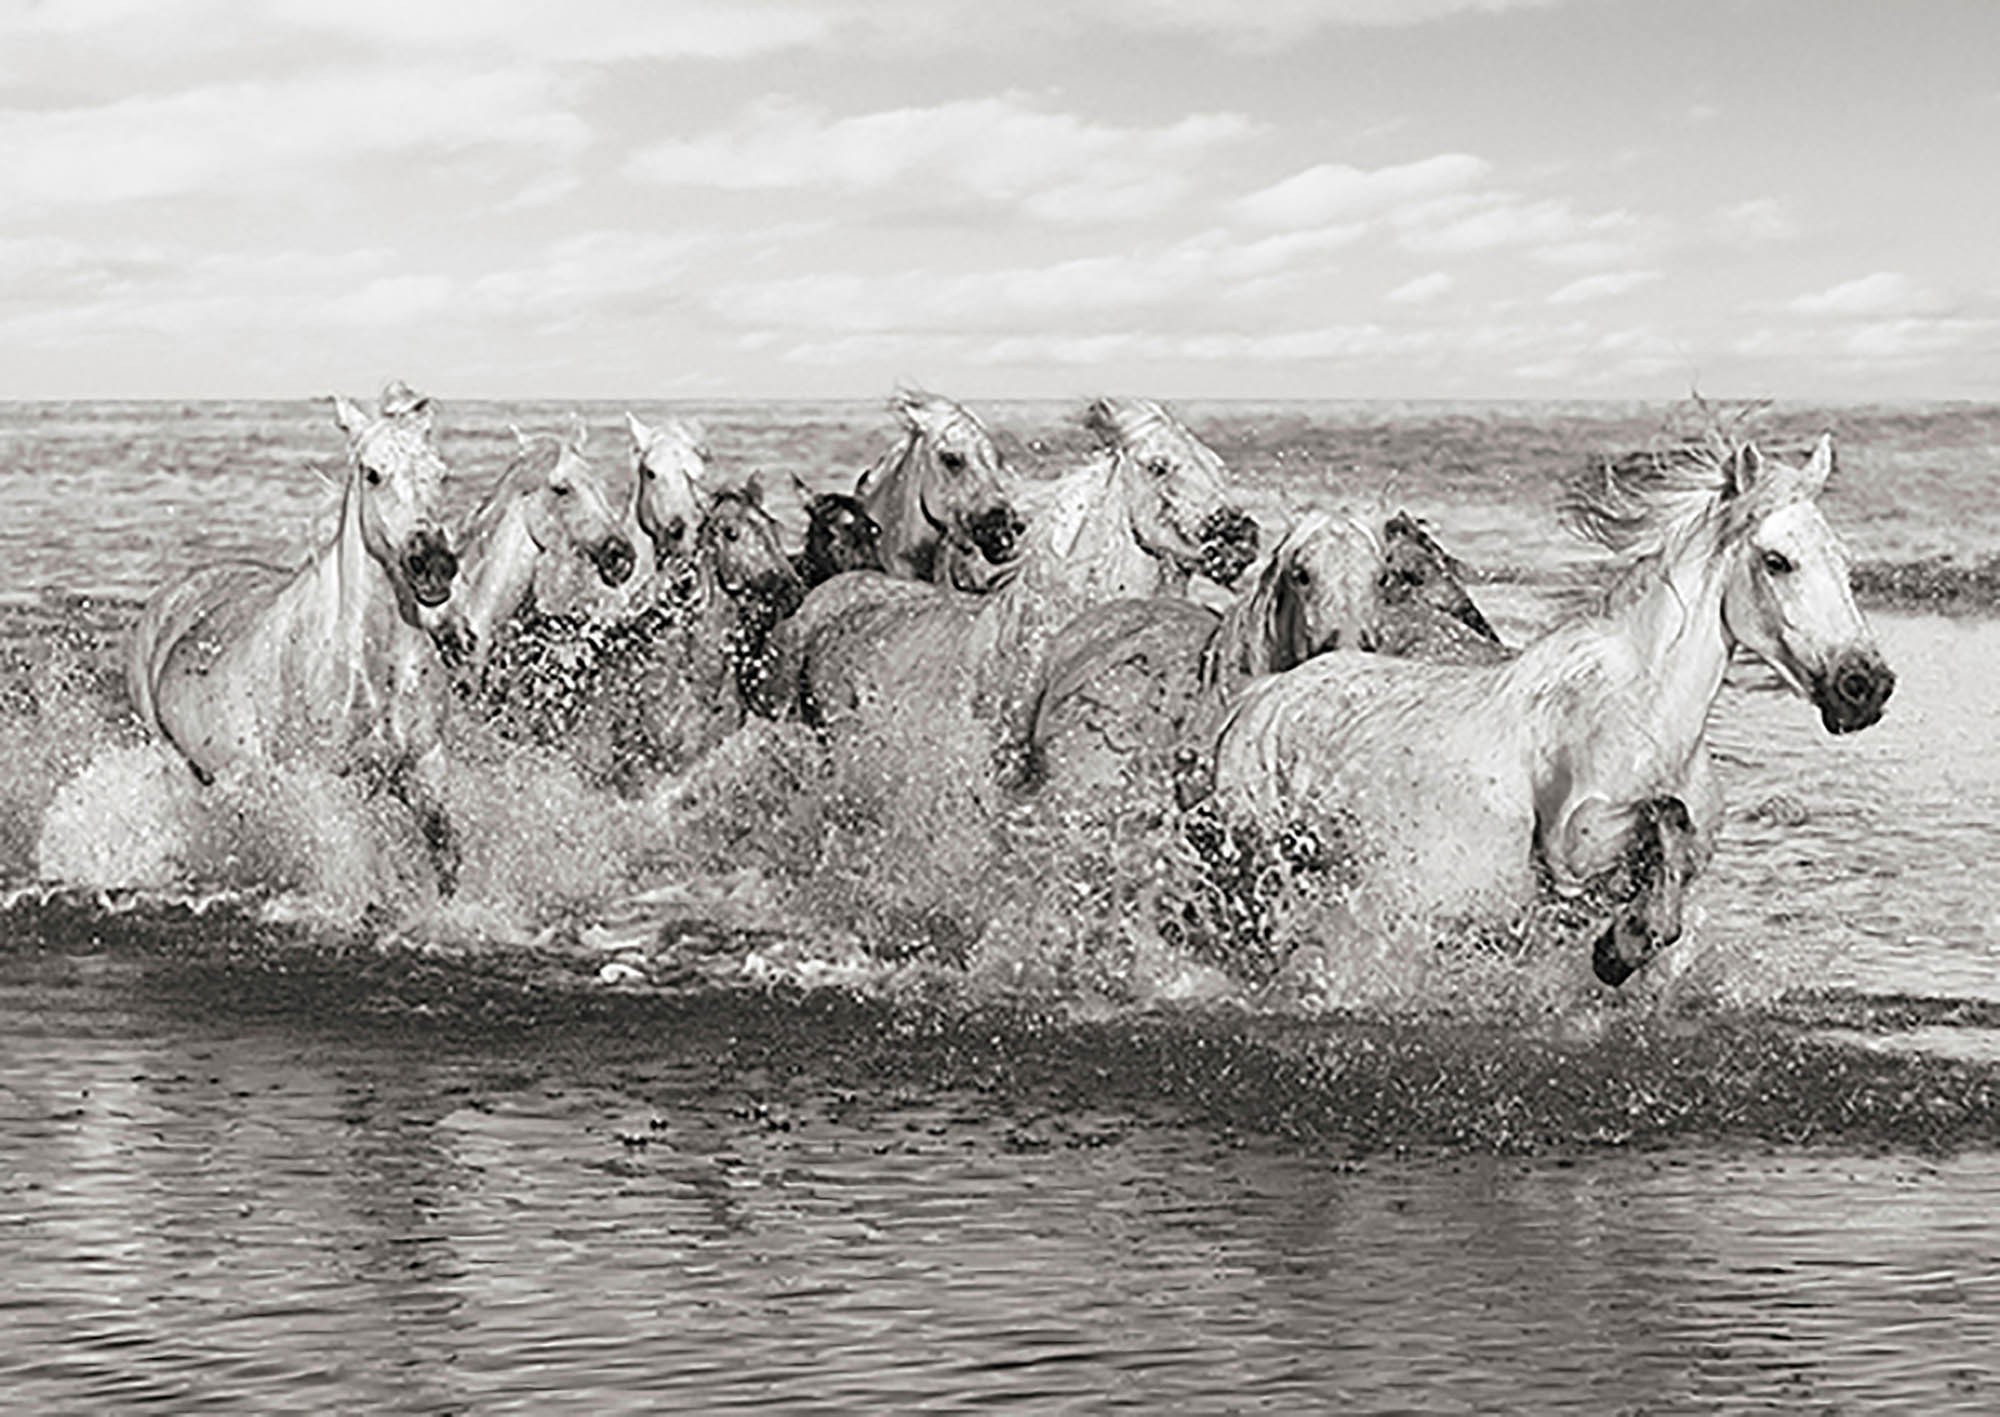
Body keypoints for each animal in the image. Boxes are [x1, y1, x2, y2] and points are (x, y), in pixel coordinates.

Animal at [125, 381, 464, 891]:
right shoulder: (328, 783)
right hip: (177, 764)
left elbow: (445, 853)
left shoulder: (425, 764)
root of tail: (173, 593)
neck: (368, 665)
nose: (434, 565)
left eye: (441, 475)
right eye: (373, 474)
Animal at [1191, 432, 1895, 985]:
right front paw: (1620, 949)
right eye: (1778, 561)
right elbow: (1664, 817)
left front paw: (1624, 944)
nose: (1866, 686)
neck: (1648, 718)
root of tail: (1260, 699)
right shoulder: (1572, 846)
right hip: (1262, 868)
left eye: (1844, 563)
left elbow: (1675, 856)